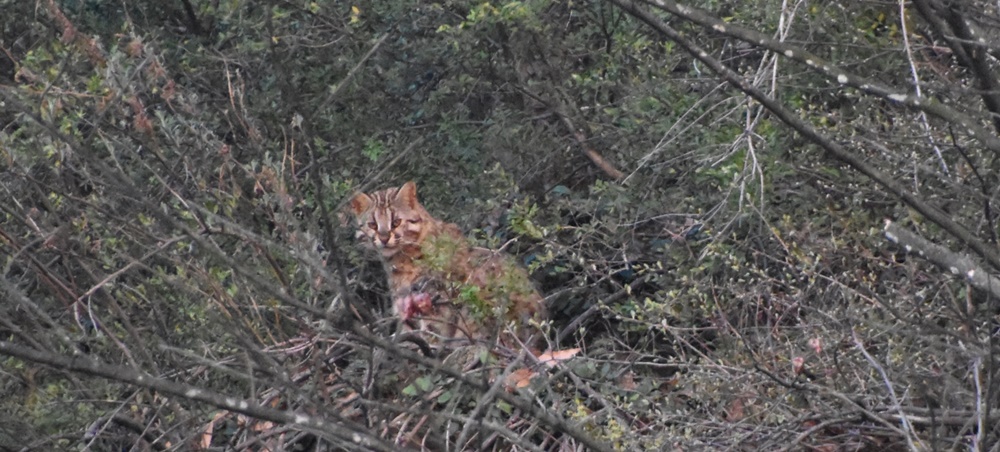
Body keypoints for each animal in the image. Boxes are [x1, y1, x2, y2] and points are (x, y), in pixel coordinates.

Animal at [346, 181, 544, 350]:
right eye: (372, 224)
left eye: (396, 222)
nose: (384, 238)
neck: (399, 261)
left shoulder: (436, 300)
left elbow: (433, 332)